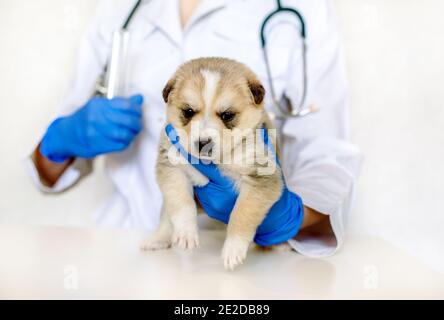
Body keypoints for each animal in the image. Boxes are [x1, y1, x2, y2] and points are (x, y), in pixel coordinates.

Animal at [140, 57, 282, 270]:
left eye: (227, 115)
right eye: (188, 111)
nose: (202, 143)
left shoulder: (260, 180)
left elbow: (241, 213)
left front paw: (233, 249)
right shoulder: (172, 168)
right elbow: (182, 203)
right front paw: (186, 233)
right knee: (167, 214)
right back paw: (158, 238)